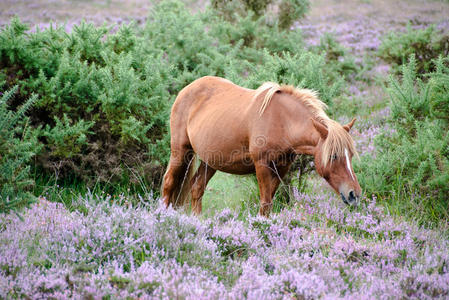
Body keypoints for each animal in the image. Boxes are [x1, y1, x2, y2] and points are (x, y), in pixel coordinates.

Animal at [161, 75, 360, 216]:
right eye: (333, 155)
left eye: (350, 155)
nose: (354, 194)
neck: (282, 121)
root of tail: (186, 89)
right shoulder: (262, 165)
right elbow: (265, 204)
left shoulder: (281, 168)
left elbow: (269, 200)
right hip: (180, 151)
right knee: (169, 183)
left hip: (211, 161)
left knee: (197, 187)